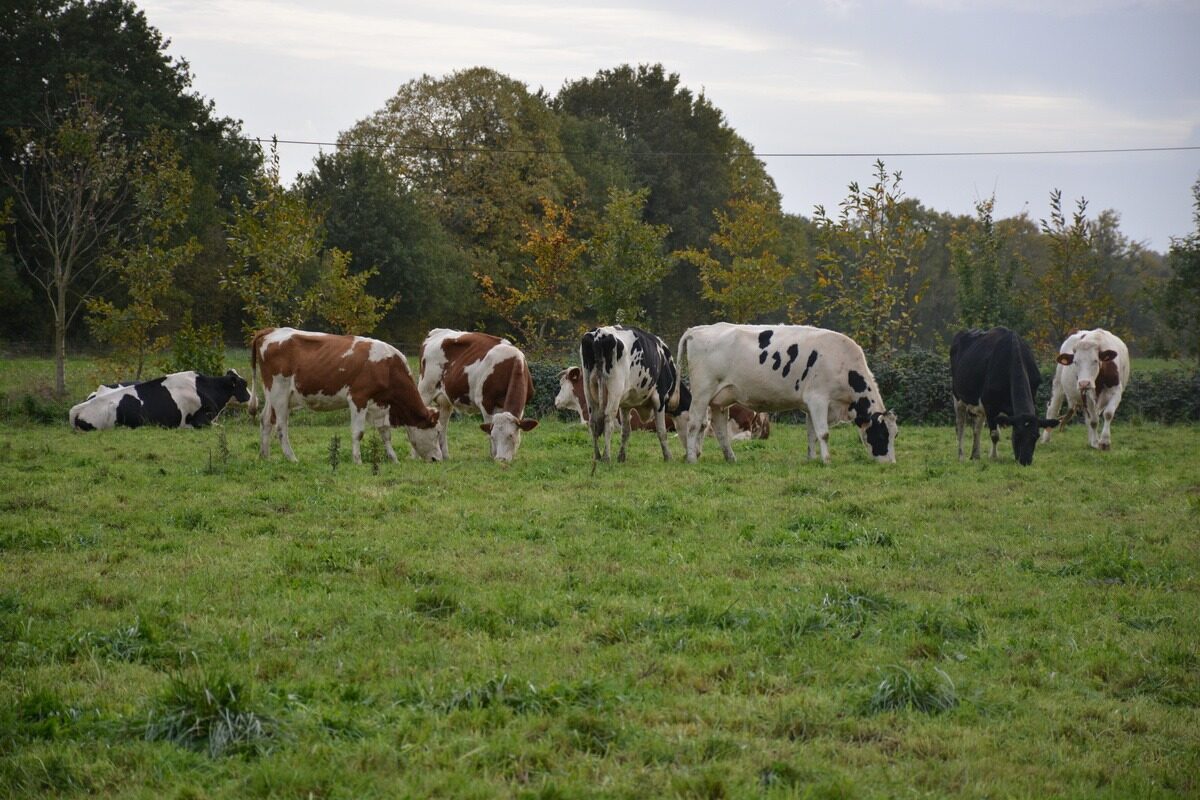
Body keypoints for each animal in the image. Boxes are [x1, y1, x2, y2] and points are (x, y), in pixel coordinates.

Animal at [250, 326, 444, 462]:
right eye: (436, 433)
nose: (438, 459)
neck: (388, 366)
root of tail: (271, 330)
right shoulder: (358, 398)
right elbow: (358, 432)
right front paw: (357, 460)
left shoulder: (380, 404)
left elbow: (385, 432)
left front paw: (393, 458)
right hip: (279, 393)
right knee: (281, 426)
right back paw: (291, 458)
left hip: (273, 394)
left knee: (265, 420)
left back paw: (265, 456)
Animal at [417, 328, 540, 462]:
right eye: (493, 437)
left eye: (511, 435)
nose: (500, 459)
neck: (511, 363)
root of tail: (437, 332)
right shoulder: (487, 402)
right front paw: (492, 455)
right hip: (425, 389)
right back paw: (415, 456)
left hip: (445, 400)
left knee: (442, 425)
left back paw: (444, 456)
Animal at [578, 326, 691, 462]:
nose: (697, 453)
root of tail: (599, 333)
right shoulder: (659, 398)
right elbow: (661, 431)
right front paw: (668, 457)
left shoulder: (625, 405)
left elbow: (626, 431)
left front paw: (621, 457)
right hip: (614, 389)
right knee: (608, 419)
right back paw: (606, 457)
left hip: (588, 387)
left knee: (593, 421)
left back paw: (597, 456)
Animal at [945, 323, 1060, 462]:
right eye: (1017, 435)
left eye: (1036, 436)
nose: (1025, 461)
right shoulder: (990, 405)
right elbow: (995, 434)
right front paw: (994, 457)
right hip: (958, 397)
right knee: (960, 426)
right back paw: (961, 456)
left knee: (977, 427)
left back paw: (976, 455)